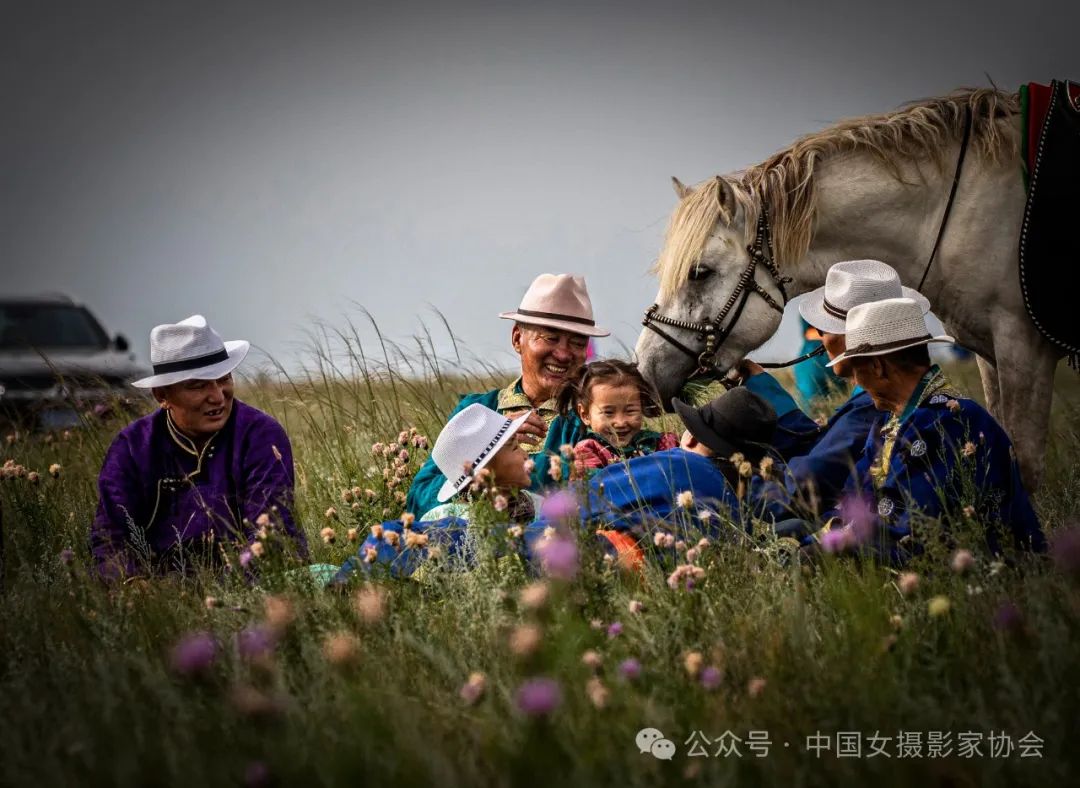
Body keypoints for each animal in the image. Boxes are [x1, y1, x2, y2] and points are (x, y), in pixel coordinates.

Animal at [635, 89, 1067, 487]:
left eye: (699, 272)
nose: (643, 375)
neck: (958, 212)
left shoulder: (1021, 347)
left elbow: (1026, 463)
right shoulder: (989, 355)